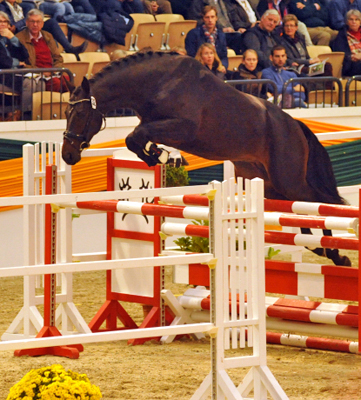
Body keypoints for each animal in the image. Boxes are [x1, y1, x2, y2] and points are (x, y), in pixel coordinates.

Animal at [62, 51, 352, 268]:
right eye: (65, 113)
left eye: (80, 114)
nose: (67, 154)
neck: (158, 83)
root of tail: (295, 126)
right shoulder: (155, 125)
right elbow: (133, 139)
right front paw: (161, 156)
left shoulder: (182, 128)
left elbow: (135, 136)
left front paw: (161, 156)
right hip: (267, 182)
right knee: (300, 210)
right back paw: (319, 248)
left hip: (288, 178)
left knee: (320, 202)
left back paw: (336, 254)